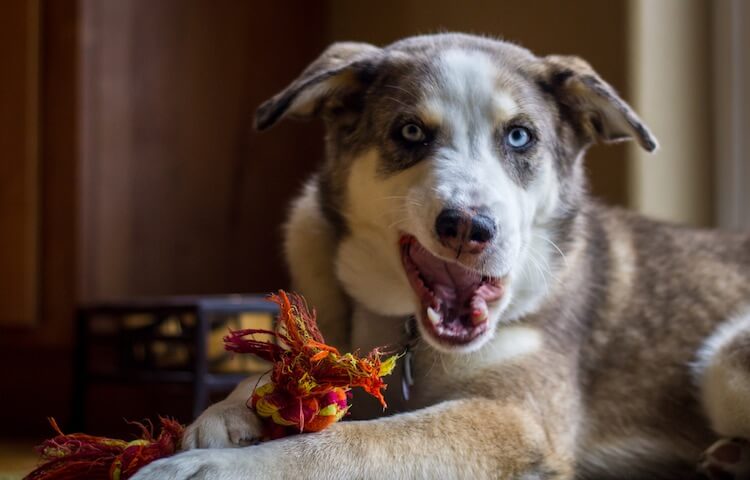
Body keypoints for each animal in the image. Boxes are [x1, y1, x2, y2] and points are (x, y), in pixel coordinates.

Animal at [134, 33, 750, 480]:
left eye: (520, 137)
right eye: (410, 132)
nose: (469, 227)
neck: (408, 333)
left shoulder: (514, 416)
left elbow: (356, 443)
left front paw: (211, 467)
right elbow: (288, 371)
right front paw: (227, 412)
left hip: (725, 360)